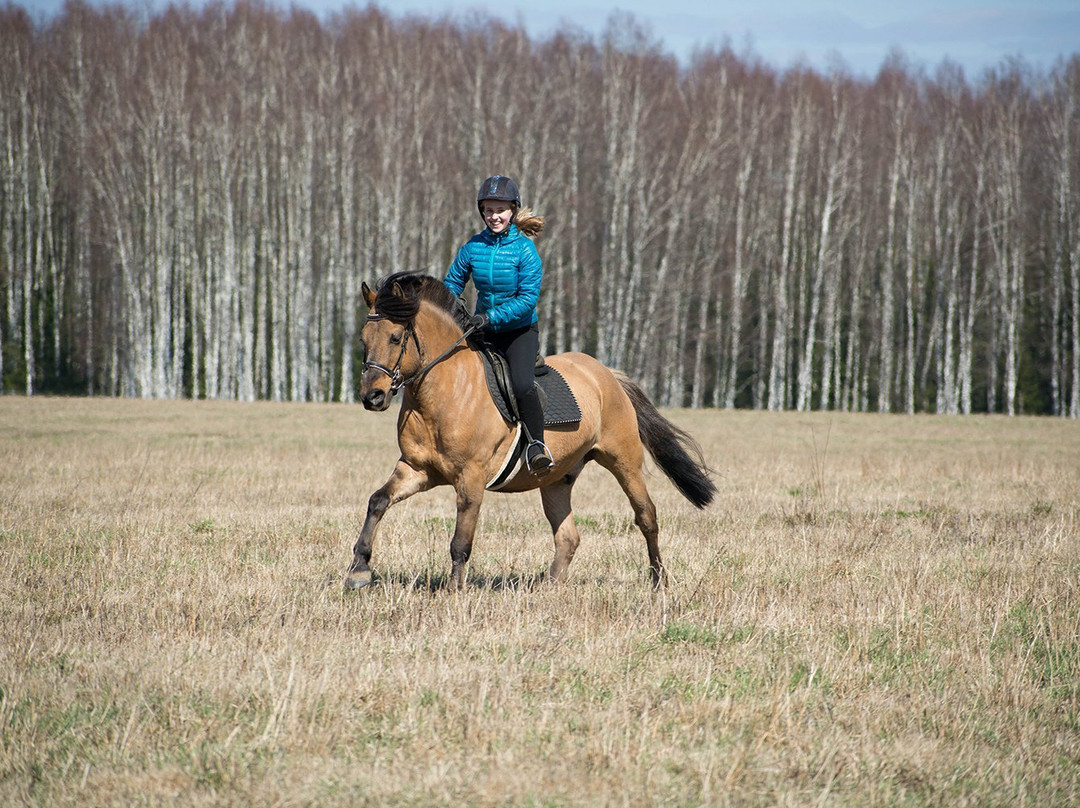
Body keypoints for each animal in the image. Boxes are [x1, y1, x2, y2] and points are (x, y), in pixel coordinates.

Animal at [345, 274, 717, 591]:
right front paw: (359, 571)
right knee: (568, 537)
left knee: (646, 517)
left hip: (624, 461)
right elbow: (377, 501)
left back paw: (659, 580)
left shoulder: (471, 478)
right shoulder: (416, 470)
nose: (371, 397)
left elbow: (460, 541)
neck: (442, 393)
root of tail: (606, 374)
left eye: (395, 338)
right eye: (363, 340)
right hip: (557, 479)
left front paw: (453, 592)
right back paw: (547, 588)